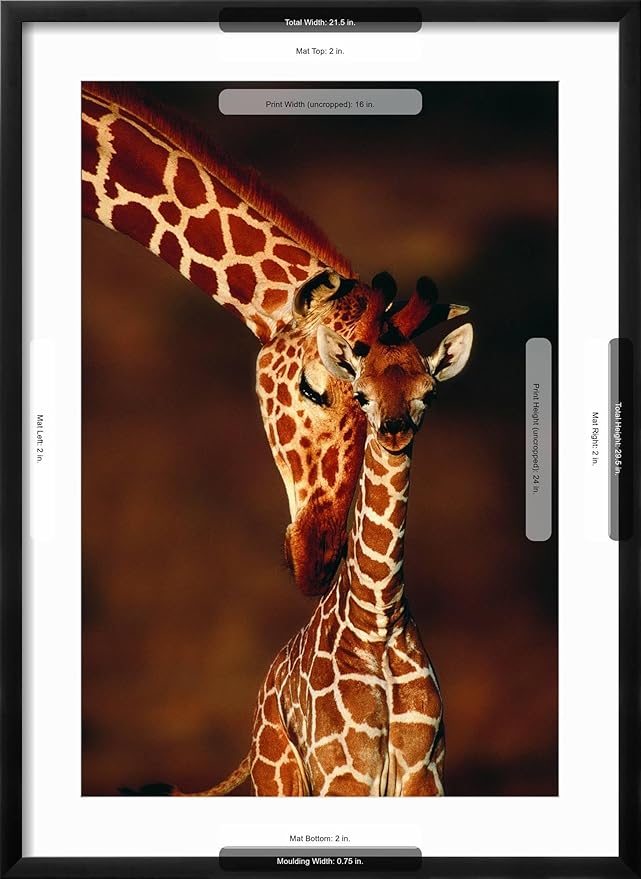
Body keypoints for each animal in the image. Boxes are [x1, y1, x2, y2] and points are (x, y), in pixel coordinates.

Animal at [172, 302, 473, 797]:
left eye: (428, 394)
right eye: (362, 394)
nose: (394, 431)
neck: (379, 619)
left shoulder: (424, 772)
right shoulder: (345, 774)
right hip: (279, 778)